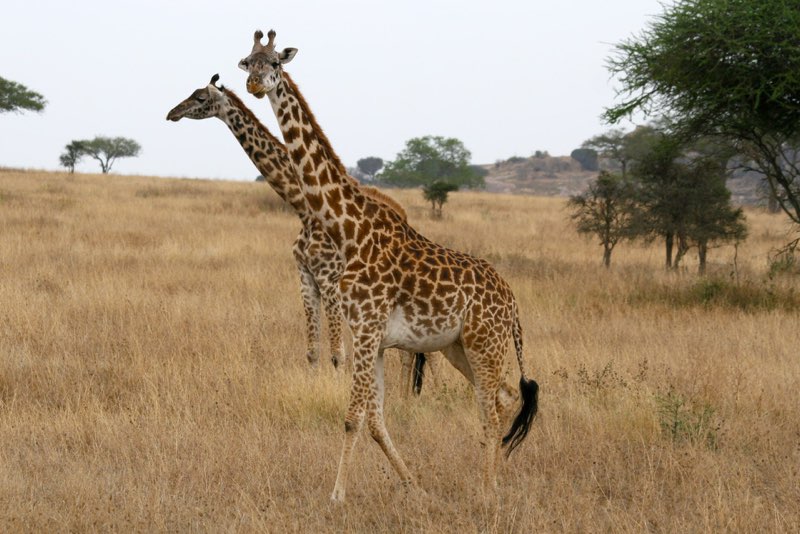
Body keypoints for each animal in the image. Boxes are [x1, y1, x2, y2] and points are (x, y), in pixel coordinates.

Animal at [166, 74, 428, 380]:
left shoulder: (329, 279)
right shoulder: (305, 277)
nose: (172, 113)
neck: (303, 210)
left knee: (407, 351)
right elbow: (312, 351)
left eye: (200, 98)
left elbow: (338, 353)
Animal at [239, 30, 539, 502]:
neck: (350, 229)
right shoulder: (375, 340)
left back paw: (488, 492)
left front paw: (336, 496)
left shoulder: (365, 330)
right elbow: (374, 419)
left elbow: (352, 417)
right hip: (460, 347)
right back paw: (491, 482)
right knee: (498, 401)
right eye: (246, 62)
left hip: (485, 343)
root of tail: (512, 301)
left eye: (275, 63)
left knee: (492, 411)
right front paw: (410, 487)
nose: (253, 86)